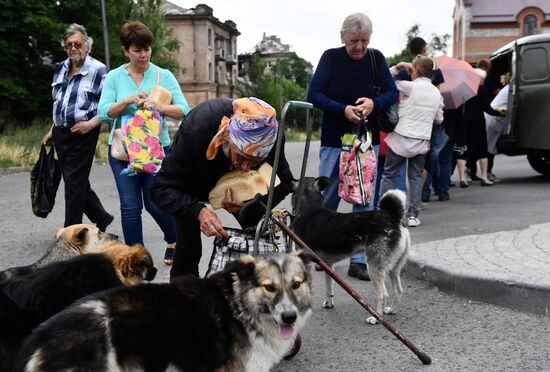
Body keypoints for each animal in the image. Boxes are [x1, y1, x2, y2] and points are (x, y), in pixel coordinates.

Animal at [294, 176, 410, 324]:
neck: (310, 206)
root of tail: (393, 218)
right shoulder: (328, 265)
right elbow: (329, 287)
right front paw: (329, 303)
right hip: (393, 268)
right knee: (399, 290)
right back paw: (392, 310)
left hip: (374, 267)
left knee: (383, 295)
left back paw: (376, 318)